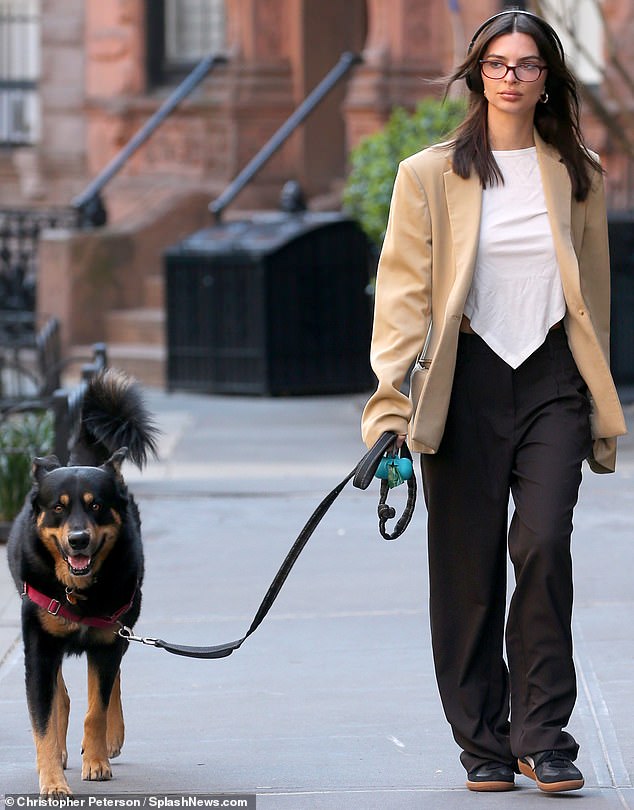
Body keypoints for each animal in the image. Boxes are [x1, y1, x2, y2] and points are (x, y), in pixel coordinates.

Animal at [8, 368, 157, 796]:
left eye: (96, 506)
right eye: (58, 508)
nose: (78, 540)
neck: (78, 592)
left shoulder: (107, 641)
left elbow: (97, 707)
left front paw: (97, 759)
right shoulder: (39, 647)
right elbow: (44, 719)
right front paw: (52, 780)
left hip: (125, 620)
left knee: (111, 682)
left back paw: (111, 737)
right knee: (61, 696)